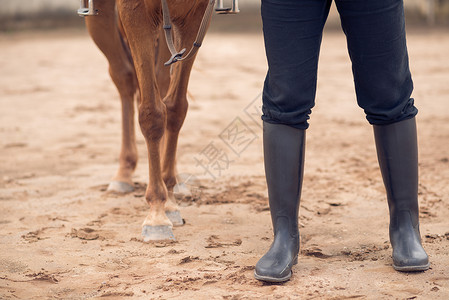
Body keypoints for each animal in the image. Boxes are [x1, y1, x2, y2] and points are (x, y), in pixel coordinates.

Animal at [82, 0, 212, 239]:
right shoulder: (135, 12)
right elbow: (152, 113)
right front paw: (157, 214)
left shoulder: (196, 14)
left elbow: (175, 108)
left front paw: (168, 198)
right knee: (123, 77)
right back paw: (123, 174)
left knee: (160, 81)